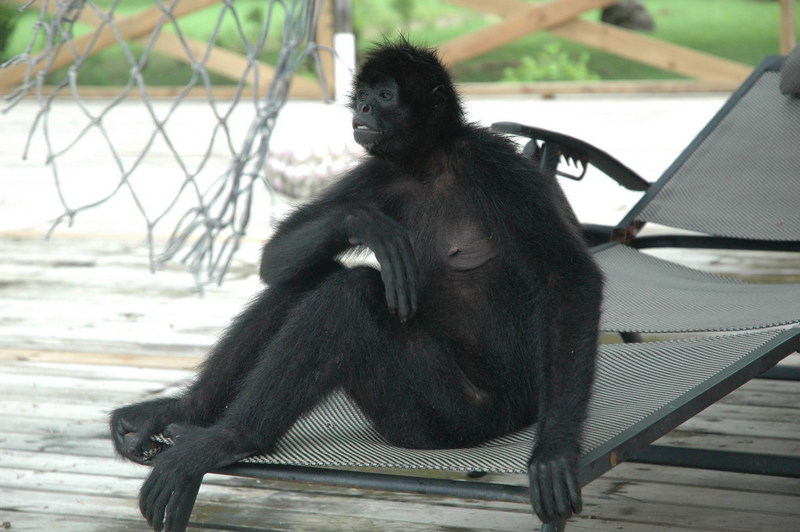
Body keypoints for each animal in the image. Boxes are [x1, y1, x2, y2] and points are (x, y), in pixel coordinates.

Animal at [111, 39, 600, 528]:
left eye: (385, 95)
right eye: (364, 95)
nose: (363, 107)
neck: (428, 165)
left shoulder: (490, 161)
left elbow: (567, 279)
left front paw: (553, 454)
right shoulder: (379, 174)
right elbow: (276, 259)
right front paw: (365, 224)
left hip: (456, 416)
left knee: (352, 292)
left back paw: (231, 437)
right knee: (306, 278)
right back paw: (182, 412)